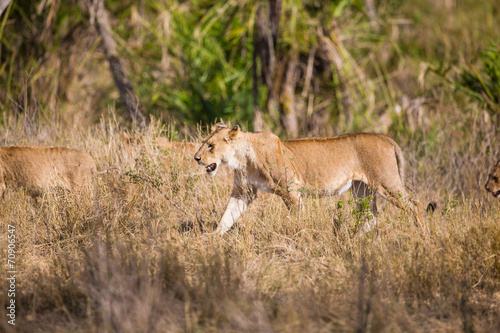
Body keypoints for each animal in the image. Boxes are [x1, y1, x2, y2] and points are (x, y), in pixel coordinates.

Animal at [194, 123, 426, 235]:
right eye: (204, 142)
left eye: (211, 146)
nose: (196, 158)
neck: (241, 158)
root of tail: (385, 137)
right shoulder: (244, 192)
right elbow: (228, 216)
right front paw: (213, 237)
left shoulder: (291, 190)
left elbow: (298, 218)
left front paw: (300, 236)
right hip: (361, 189)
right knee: (371, 216)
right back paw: (352, 239)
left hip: (387, 183)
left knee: (415, 205)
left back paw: (424, 236)